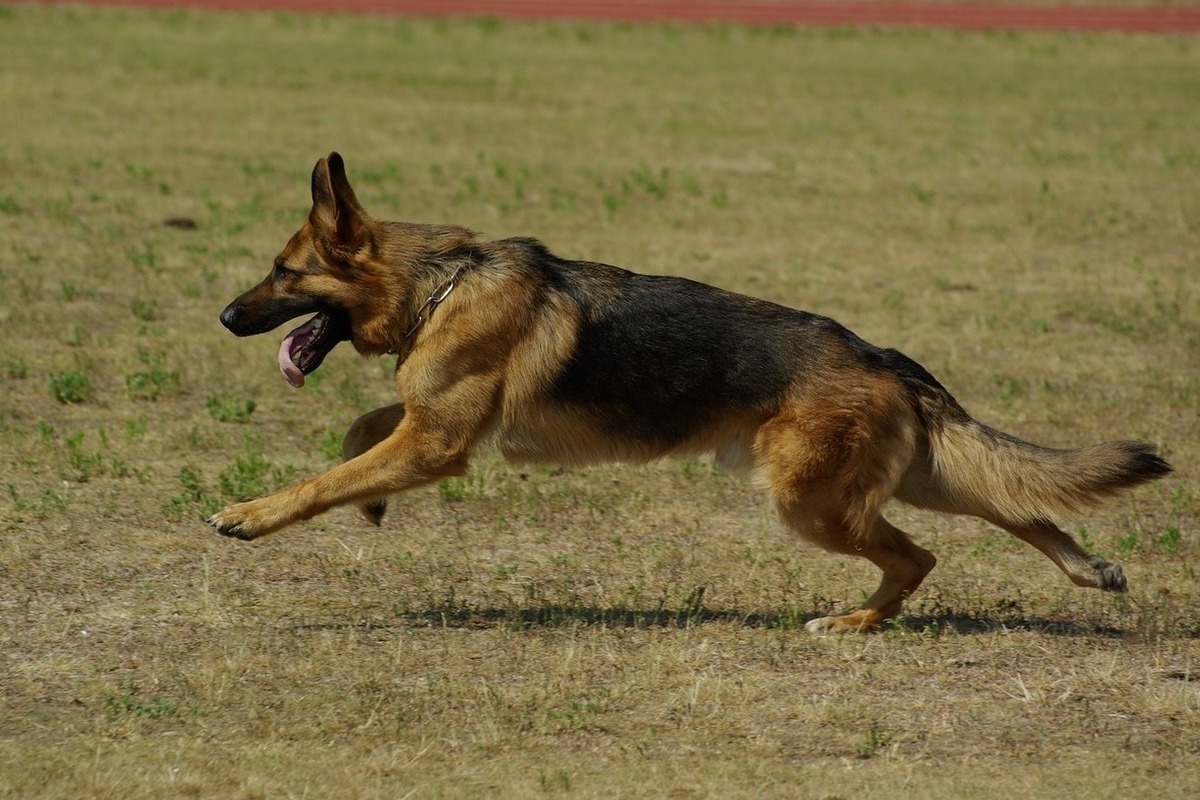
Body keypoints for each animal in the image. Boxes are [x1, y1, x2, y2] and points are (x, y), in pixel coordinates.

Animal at [213, 153, 1171, 633]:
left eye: (282, 272)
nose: (224, 316)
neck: (440, 282)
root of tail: (883, 356)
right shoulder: (430, 428)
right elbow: (361, 434)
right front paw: (369, 503)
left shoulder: (436, 443)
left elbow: (328, 477)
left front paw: (252, 515)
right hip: (903, 477)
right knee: (1016, 503)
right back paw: (1087, 568)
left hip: (813, 502)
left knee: (919, 557)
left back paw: (854, 624)